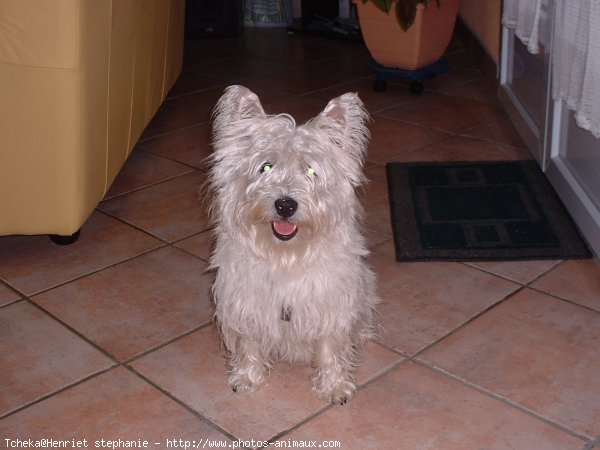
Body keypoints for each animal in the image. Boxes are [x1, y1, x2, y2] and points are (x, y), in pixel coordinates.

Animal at [209, 84, 378, 404]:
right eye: (265, 167)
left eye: (311, 171)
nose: (285, 205)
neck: (286, 255)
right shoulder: (246, 301)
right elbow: (249, 343)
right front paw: (247, 378)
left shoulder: (329, 305)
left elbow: (330, 348)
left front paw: (335, 386)